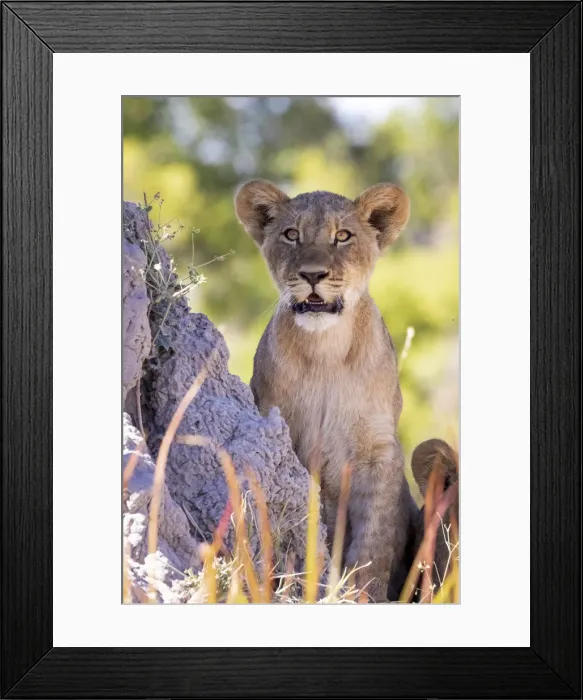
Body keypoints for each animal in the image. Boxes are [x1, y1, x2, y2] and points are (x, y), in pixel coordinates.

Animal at [235, 179, 419, 601]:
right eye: (291, 234)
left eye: (343, 236)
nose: (313, 274)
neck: (326, 352)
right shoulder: (288, 436)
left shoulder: (378, 448)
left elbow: (375, 536)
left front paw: (361, 592)